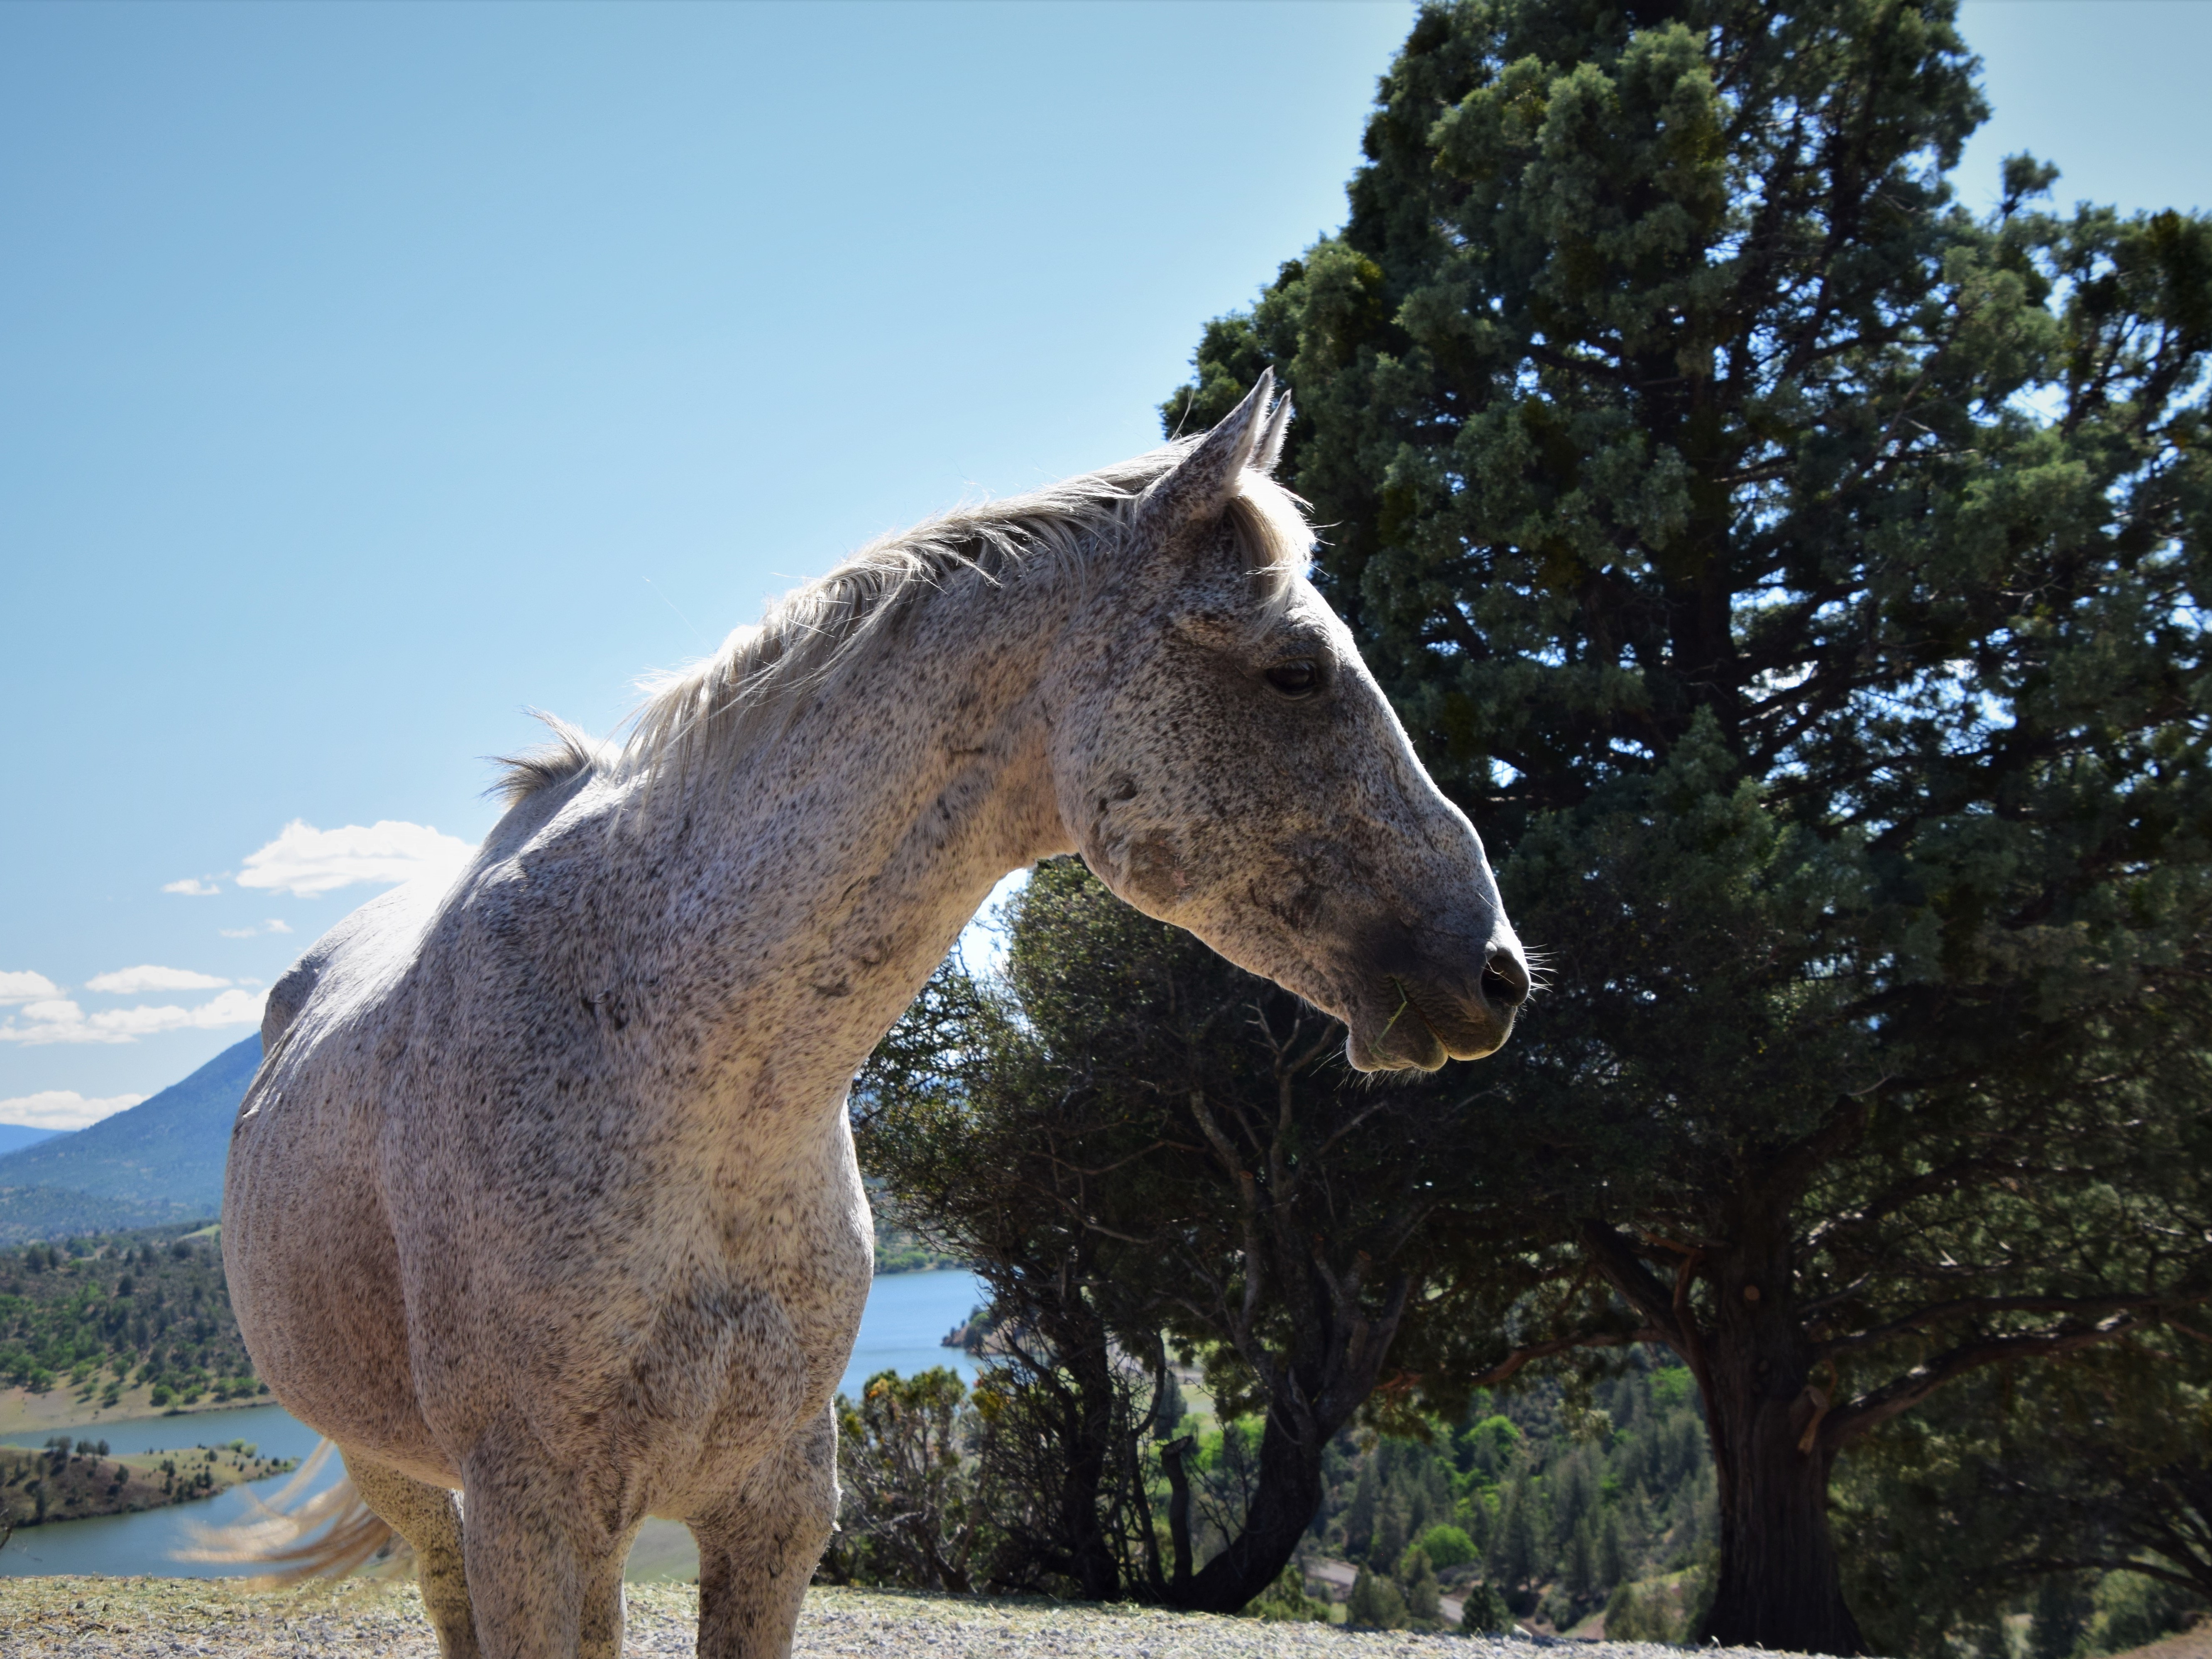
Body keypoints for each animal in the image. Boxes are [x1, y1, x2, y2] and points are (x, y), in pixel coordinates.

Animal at [220, 373, 1528, 1659]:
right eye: (1295, 671)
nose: (1498, 971)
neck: (666, 1057)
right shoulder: (531, 1515)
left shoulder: (774, 1508)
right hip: (411, 1482)